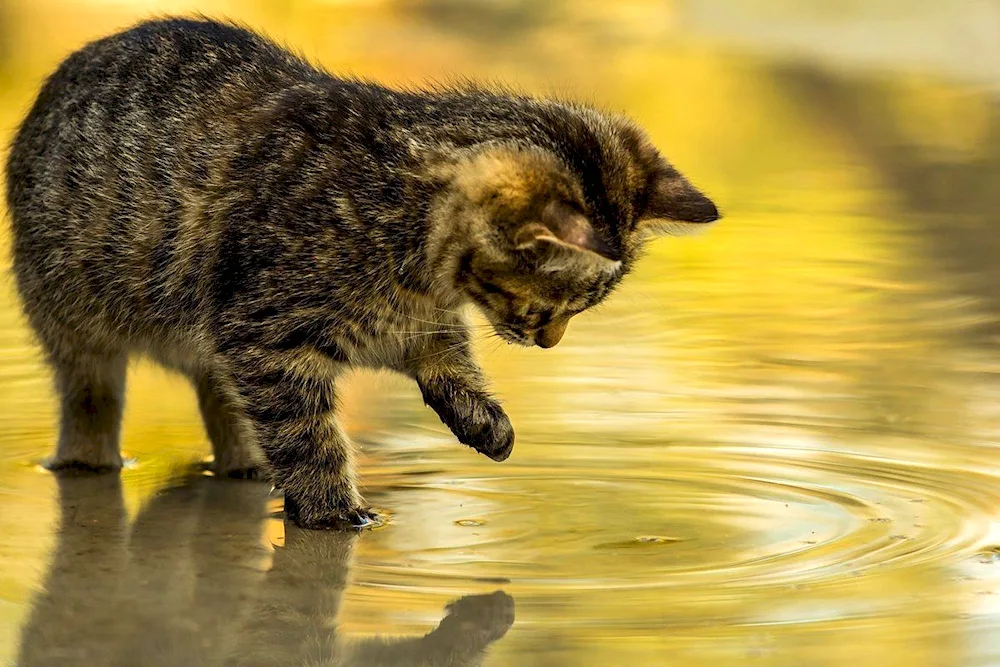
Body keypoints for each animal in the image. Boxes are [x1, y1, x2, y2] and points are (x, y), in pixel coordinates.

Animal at [3, 17, 716, 532]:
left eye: (576, 308)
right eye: (558, 304)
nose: (551, 341)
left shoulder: (412, 324)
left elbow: (450, 361)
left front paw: (482, 416)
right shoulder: (265, 340)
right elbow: (310, 437)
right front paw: (333, 509)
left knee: (222, 401)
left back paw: (247, 465)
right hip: (75, 324)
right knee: (92, 403)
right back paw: (92, 458)